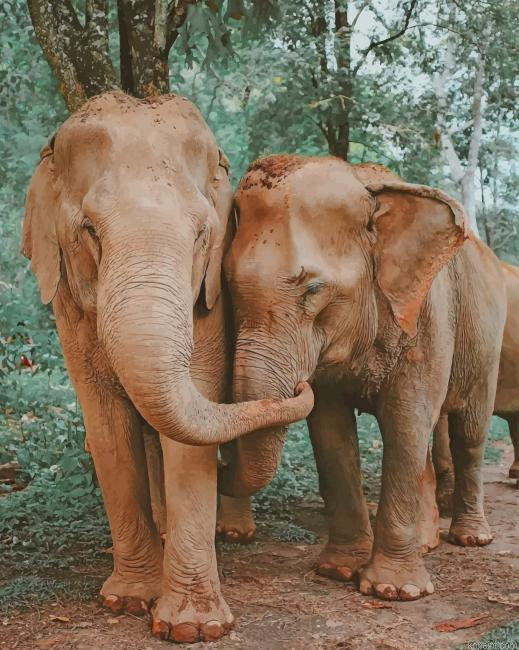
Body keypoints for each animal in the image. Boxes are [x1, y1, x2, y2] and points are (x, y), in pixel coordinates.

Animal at [21, 92, 313, 643]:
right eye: (89, 231)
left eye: (202, 235)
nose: (305, 385)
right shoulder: (68, 309)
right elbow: (107, 427)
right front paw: (127, 600)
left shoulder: (210, 300)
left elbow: (191, 425)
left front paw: (194, 628)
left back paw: (230, 532)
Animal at [221, 153, 507, 602]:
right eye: (227, 286)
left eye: (313, 290)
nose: (299, 384)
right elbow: (330, 429)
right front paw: (338, 570)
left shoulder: (426, 312)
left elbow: (406, 420)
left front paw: (395, 590)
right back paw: (427, 542)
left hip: (485, 339)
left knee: (469, 432)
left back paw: (470, 538)